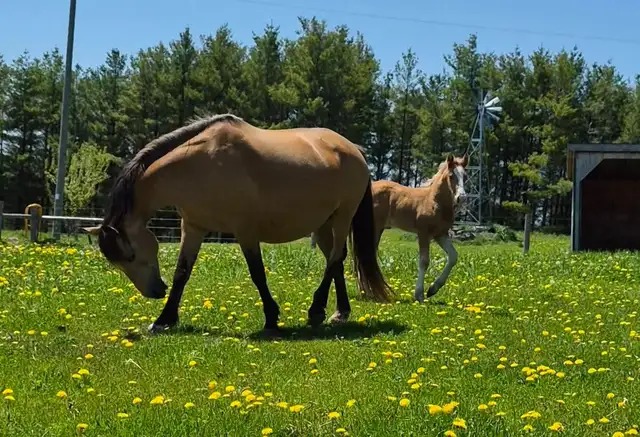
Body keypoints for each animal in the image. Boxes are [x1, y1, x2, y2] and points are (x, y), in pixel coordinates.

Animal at [83, 113, 395, 334]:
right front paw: (164, 319)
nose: (155, 292)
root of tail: (353, 149)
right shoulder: (193, 227)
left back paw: (317, 309)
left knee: (335, 258)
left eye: (131, 255)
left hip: (342, 216)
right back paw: (340, 312)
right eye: (117, 262)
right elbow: (182, 273)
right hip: (322, 224)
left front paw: (271, 317)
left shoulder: (245, 231)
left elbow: (257, 274)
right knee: (337, 261)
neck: (200, 164)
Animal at [370, 154, 468, 302]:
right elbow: (424, 261)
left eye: (466, 177)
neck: (434, 202)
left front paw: (433, 289)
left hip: (378, 228)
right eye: (451, 176)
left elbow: (453, 256)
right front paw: (419, 295)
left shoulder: (440, 234)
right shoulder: (423, 233)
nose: (461, 198)